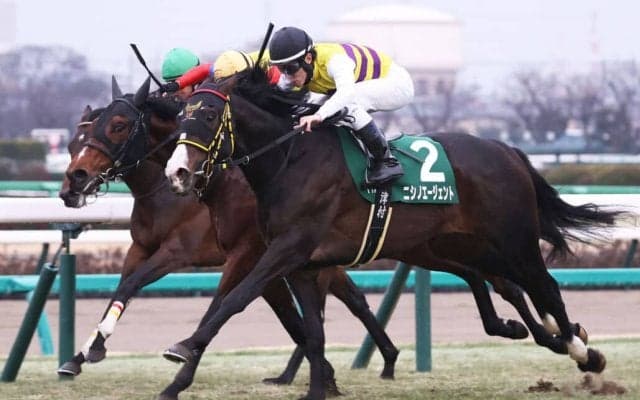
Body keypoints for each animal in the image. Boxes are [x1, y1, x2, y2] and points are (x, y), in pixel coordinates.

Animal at [58, 78, 400, 399]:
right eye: (73, 144)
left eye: (118, 126)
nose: (74, 182)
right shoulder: (142, 247)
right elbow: (122, 287)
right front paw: (82, 355)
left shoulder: (195, 251)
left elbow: (201, 301)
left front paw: (177, 369)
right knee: (348, 299)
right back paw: (378, 359)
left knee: (338, 303)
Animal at [163, 68, 620, 400]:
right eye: (179, 119)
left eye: (207, 117)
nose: (177, 172)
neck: (291, 160)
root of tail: (506, 150)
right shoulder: (303, 266)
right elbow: (313, 334)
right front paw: (317, 390)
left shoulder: (285, 250)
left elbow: (234, 299)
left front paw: (183, 346)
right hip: (456, 245)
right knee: (506, 284)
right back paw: (555, 336)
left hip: (513, 241)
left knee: (545, 286)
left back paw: (584, 353)